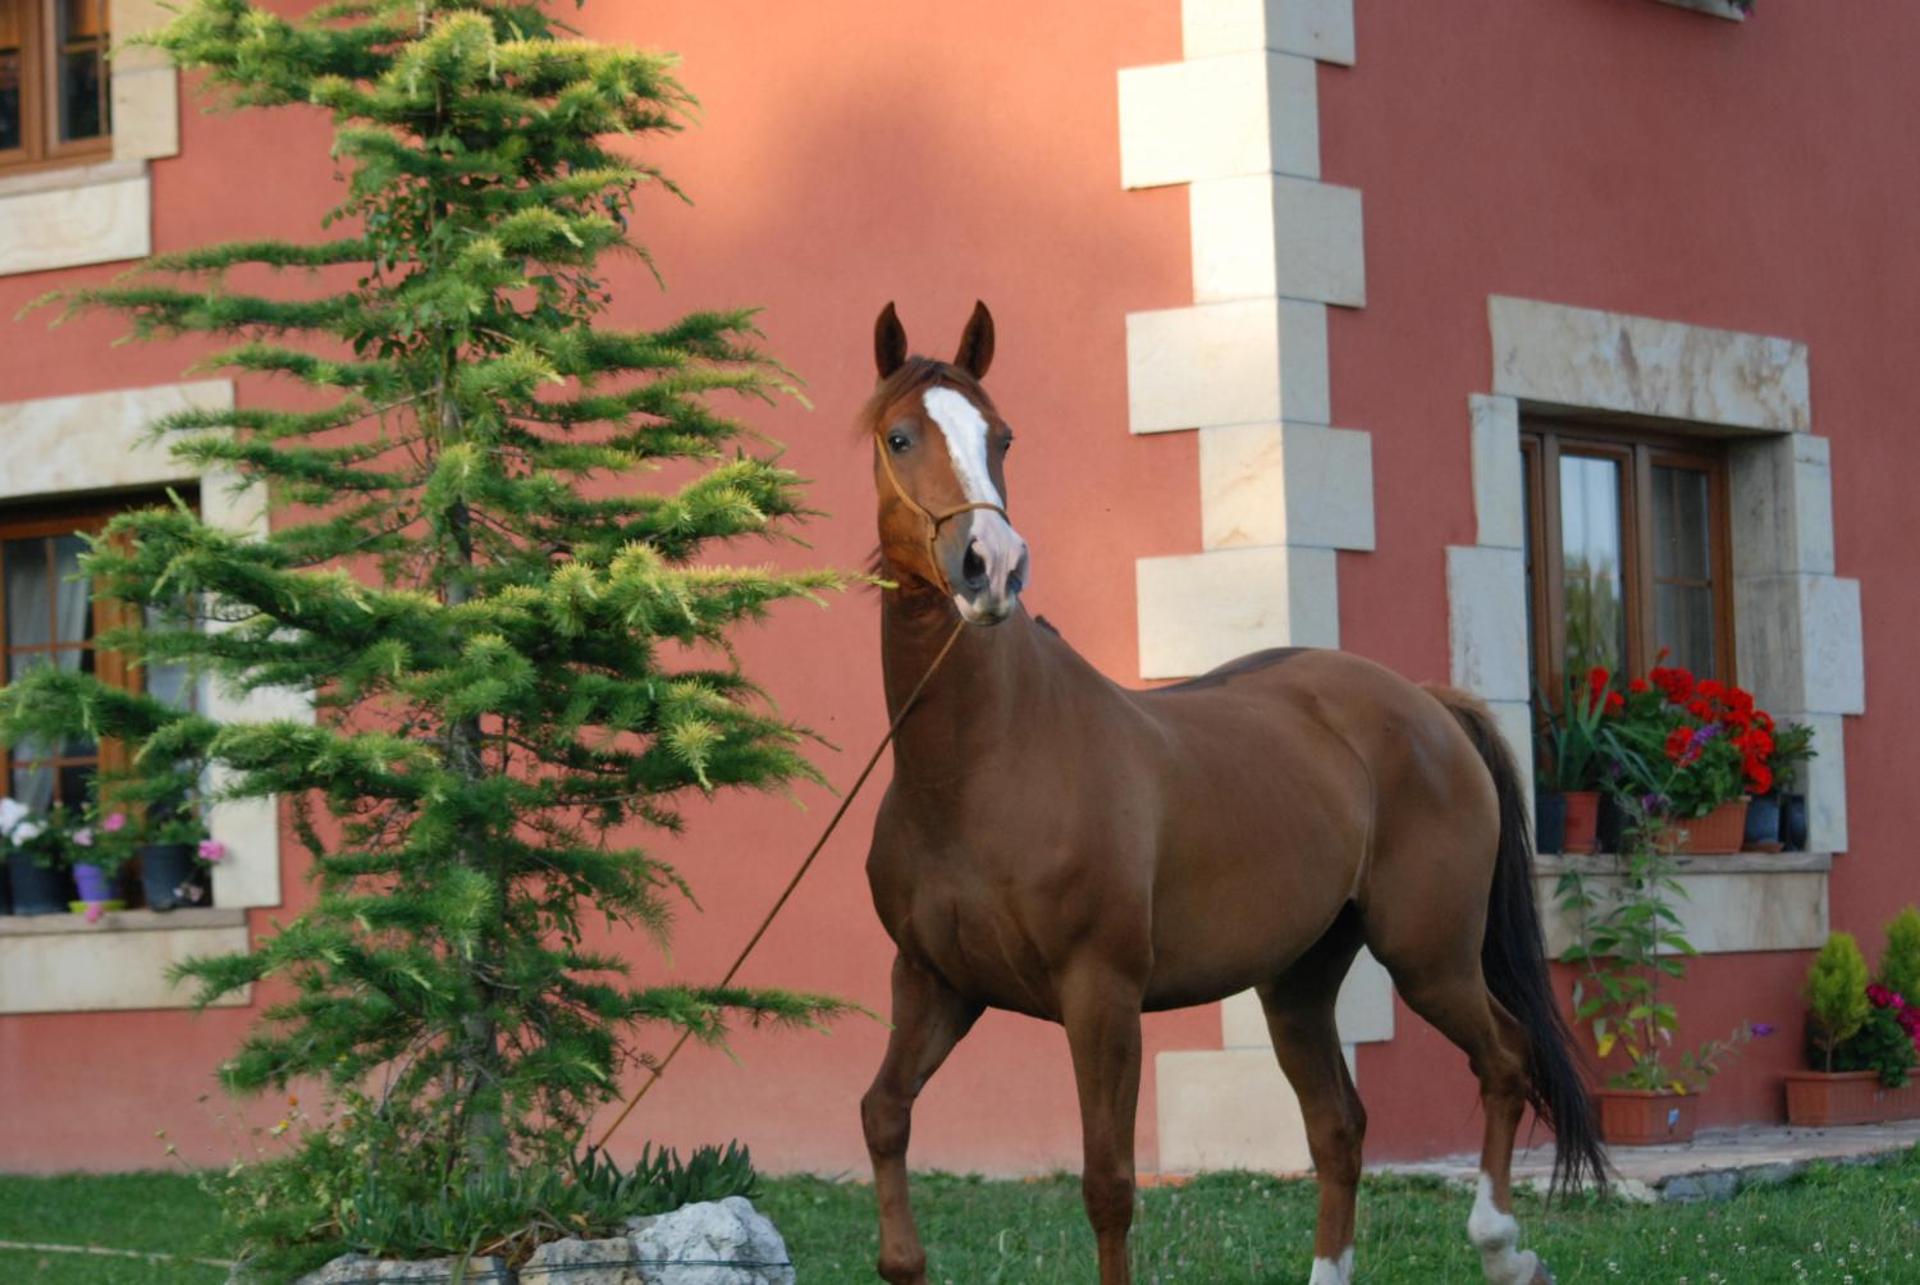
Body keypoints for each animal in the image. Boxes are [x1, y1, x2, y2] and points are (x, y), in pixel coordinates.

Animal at [855, 300, 1604, 1285]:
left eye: (1002, 436)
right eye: (900, 436)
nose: (991, 564)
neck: (982, 765)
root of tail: (1426, 704)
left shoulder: (1101, 996)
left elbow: (1108, 1185)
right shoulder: (935, 981)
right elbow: (884, 1114)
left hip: (1429, 955)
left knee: (1507, 1059)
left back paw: (1504, 1247)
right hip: (1298, 981)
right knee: (1339, 1128)